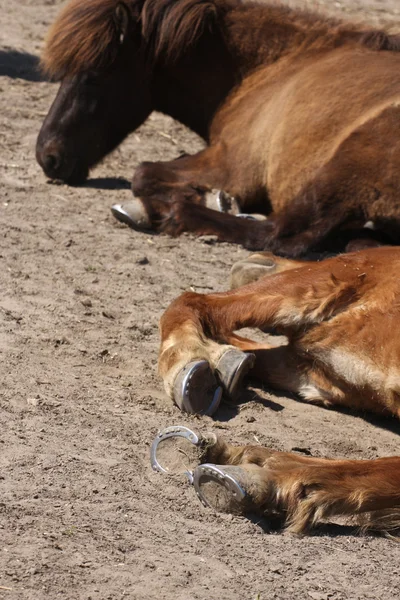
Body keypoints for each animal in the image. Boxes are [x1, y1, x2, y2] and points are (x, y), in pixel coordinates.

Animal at [36, 0, 400, 255]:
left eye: (93, 76)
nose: (47, 156)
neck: (277, 64)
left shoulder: (232, 166)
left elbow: (143, 173)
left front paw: (202, 198)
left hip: (345, 164)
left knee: (278, 234)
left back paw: (172, 213)